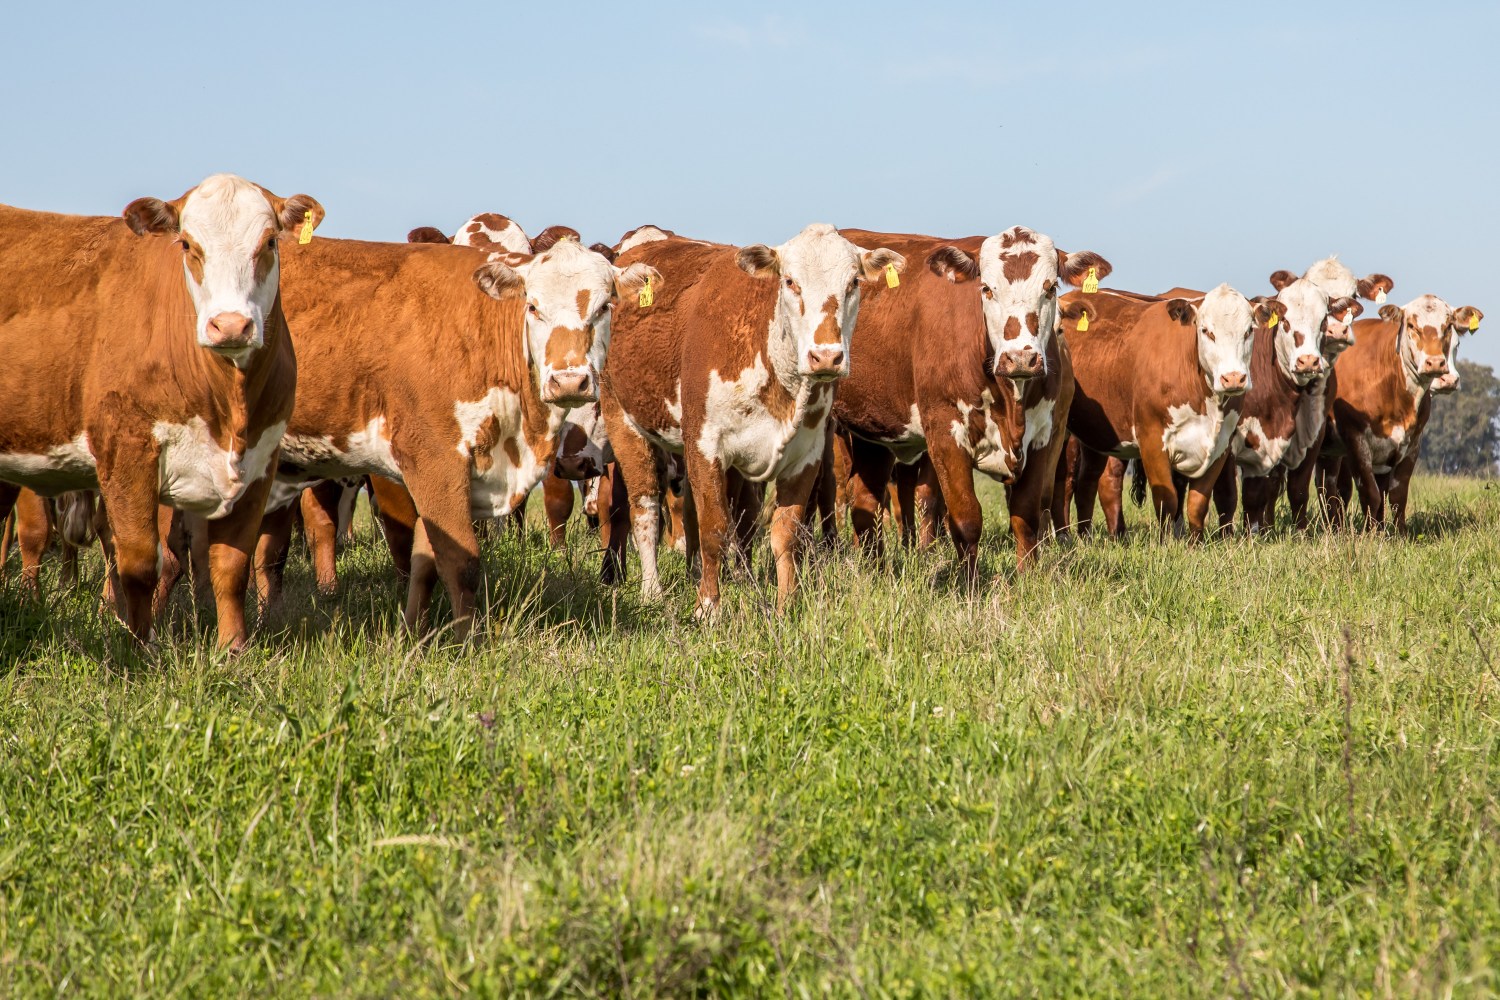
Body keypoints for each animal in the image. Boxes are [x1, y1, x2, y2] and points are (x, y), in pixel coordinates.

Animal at [0, 173, 316, 650]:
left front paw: (233, 648)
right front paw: (139, 646)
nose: (230, 325)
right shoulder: (126, 449)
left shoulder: (261, 458)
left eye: (270, 242)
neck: (228, 408)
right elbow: (138, 564)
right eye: (187, 244)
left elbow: (231, 565)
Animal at [597, 223, 900, 614]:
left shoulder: (806, 456)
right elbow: (714, 527)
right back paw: (653, 591)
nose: (826, 356)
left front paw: (786, 604)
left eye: (853, 283)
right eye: (790, 281)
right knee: (645, 507)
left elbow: (785, 532)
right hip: (623, 420)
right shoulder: (704, 444)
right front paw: (708, 607)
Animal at [828, 223, 1110, 575]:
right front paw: (969, 584)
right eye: (986, 288)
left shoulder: (1044, 436)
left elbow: (1027, 515)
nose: (1020, 358)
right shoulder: (945, 431)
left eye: (1051, 287)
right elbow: (965, 519)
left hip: (874, 430)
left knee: (865, 501)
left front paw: (1029, 578)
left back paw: (873, 571)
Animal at [1056, 283, 1278, 539]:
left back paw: (1088, 537)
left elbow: (1197, 504)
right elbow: (1167, 500)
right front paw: (1166, 542)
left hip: (1096, 433)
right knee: (1061, 481)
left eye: (1249, 331)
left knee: (1088, 482)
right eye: (1206, 331)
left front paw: (1195, 543)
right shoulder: (1151, 439)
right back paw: (1063, 536)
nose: (1233, 378)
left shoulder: (1221, 445)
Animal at [1320, 295, 1482, 530]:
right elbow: (1370, 494)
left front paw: (1397, 534)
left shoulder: (1412, 443)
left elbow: (1397, 496)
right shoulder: (1356, 440)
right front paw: (1369, 534)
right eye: (1412, 325)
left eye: (1448, 326)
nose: (1436, 364)